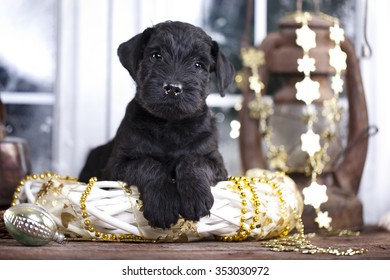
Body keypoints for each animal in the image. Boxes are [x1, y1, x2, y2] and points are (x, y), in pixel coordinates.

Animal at [77, 21, 233, 228]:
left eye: (198, 65)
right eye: (156, 55)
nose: (173, 88)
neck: (170, 125)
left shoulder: (216, 163)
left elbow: (193, 160)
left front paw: (196, 196)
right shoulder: (116, 167)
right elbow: (148, 164)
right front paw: (163, 204)